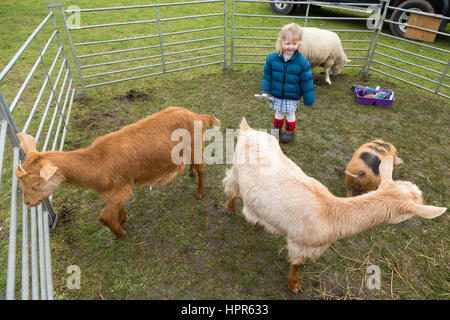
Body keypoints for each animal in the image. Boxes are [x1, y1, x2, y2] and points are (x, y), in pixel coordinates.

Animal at [16, 106, 221, 239]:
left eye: (36, 184)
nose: (27, 203)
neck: (97, 161)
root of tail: (196, 115)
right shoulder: (117, 187)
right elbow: (117, 208)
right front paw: (122, 222)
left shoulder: (122, 188)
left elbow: (104, 217)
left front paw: (120, 233)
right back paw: (191, 172)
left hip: (196, 144)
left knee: (202, 168)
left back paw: (200, 191)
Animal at [224, 118, 446, 296]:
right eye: (413, 208)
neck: (329, 213)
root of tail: (248, 130)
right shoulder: (297, 240)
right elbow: (294, 265)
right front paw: (294, 285)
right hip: (236, 170)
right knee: (231, 187)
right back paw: (230, 209)